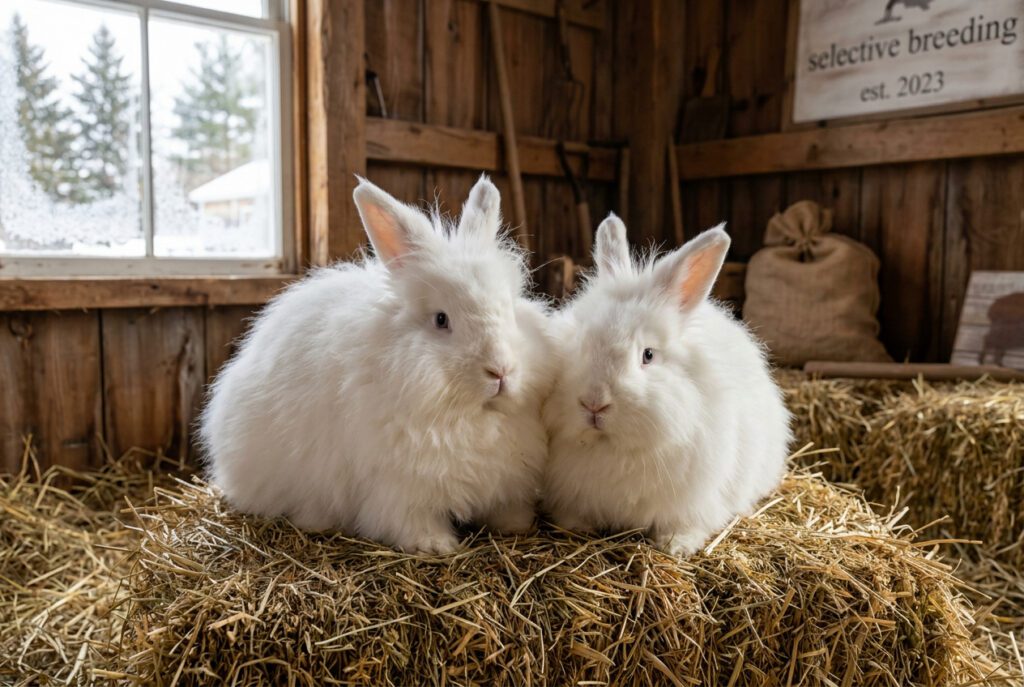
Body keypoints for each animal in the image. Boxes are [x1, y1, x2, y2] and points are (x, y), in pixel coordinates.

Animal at [200, 175, 556, 554]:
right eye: (441, 319)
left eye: (510, 310)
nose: (501, 370)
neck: (471, 416)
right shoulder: (398, 486)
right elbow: (410, 519)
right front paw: (436, 545)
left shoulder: (507, 478)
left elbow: (508, 508)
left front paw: (517, 526)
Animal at [542, 215, 792, 557]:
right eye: (579, 342)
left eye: (648, 355)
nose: (593, 403)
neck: (615, 448)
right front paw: (576, 526)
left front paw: (676, 546)